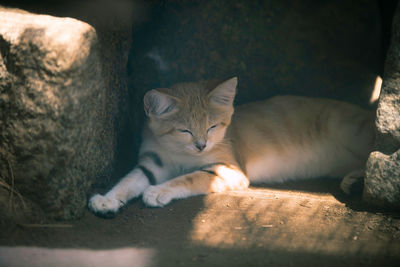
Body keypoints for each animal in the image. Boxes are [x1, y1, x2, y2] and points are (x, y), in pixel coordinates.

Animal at [87, 77, 376, 216]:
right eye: (185, 130)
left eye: (213, 126)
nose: (201, 145)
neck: (179, 153)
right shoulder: (152, 163)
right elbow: (128, 181)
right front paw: (107, 200)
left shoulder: (229, 169)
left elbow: (188, 178)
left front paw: (158, 191)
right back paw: (354, 181)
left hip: (350, 129)